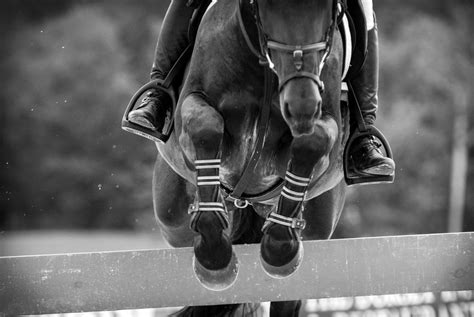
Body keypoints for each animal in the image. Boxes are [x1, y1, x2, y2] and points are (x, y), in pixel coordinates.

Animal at [152, 0, 348, 314]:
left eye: (327, 13)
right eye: (266, 12)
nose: (302, 104)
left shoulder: (323, 120)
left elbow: (313, 141)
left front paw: (279, 245)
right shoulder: (192, 105)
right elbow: (205, 125)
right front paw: (214, 254)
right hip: (172, 217)